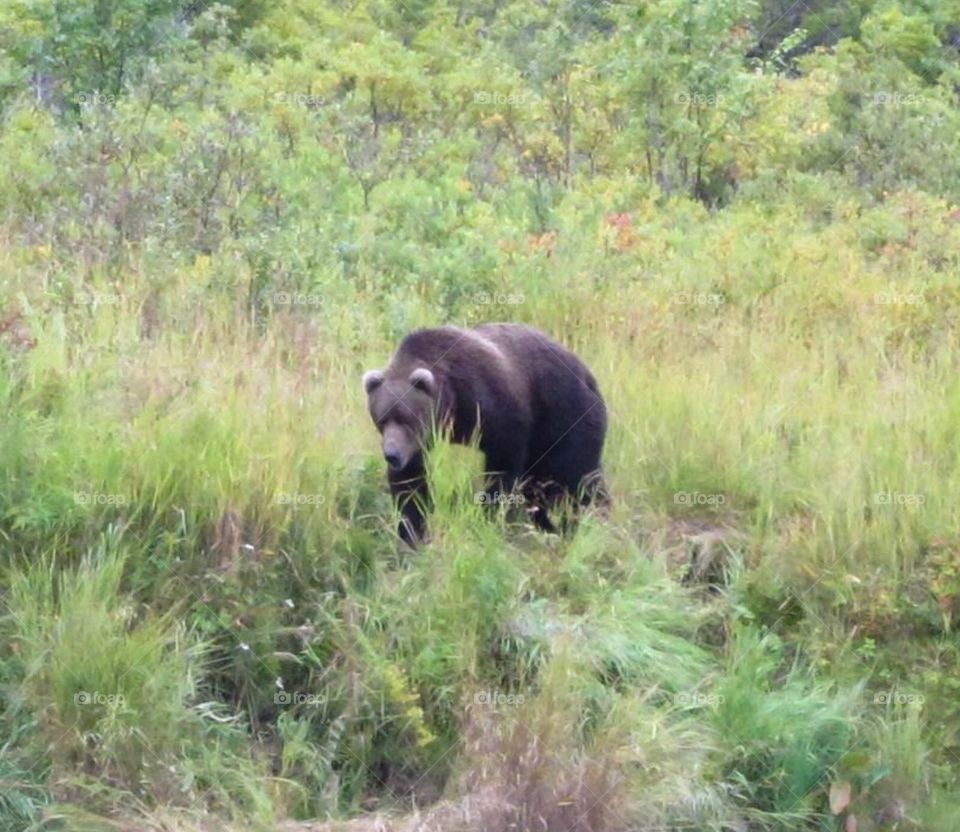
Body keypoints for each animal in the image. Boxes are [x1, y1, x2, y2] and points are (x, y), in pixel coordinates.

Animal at [362, 324, 608, 544]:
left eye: (407, 418)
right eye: (381, 419)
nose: (392, 454)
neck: (452, 404)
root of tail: (588, 374)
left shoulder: (493, 407)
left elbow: (502, 467)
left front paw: (490, 517)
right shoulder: (420, 444)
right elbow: (410, 486)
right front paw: (411, 535)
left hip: (564, 416)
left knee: (574, 476)